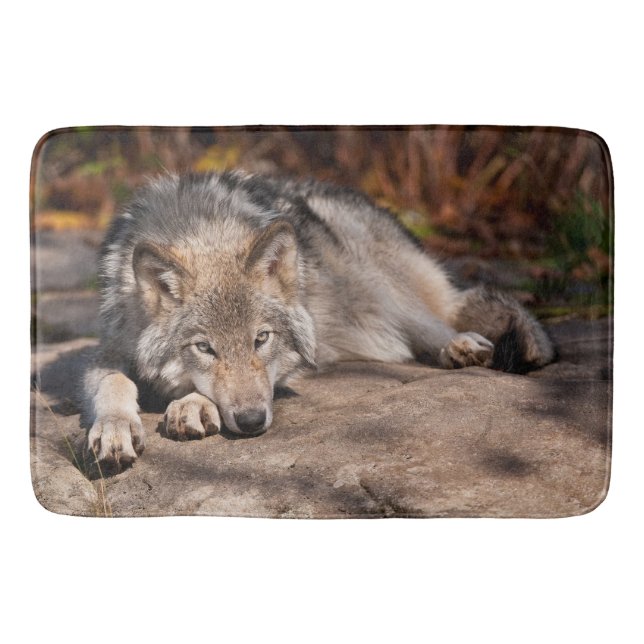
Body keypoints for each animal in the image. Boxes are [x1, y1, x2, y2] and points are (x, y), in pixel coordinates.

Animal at [84, 171, 554, 468]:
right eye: (204, 347)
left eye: (262, 339)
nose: (252, 423)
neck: (201, 229)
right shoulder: (106, 349)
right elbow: (113, 382)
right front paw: (114, 428)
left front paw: (191, 405)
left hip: (374, 284)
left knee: (435, 319)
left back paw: (459, 345)